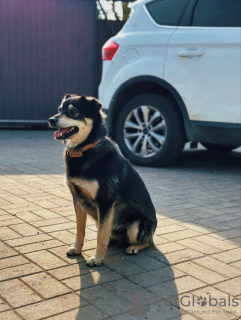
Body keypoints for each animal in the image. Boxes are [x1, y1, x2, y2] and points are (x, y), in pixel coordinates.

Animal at [49, 95, 157, 268]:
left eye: (73, 111)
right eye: (60, 109)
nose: (51, 120)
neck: (84, 150)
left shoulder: (105, 203)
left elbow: (100, 235)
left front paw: (97, 259)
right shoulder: (78, 200)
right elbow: (80, 229)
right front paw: (77, 248)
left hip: (136, 226)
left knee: (148, 242)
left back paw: (134, 247)